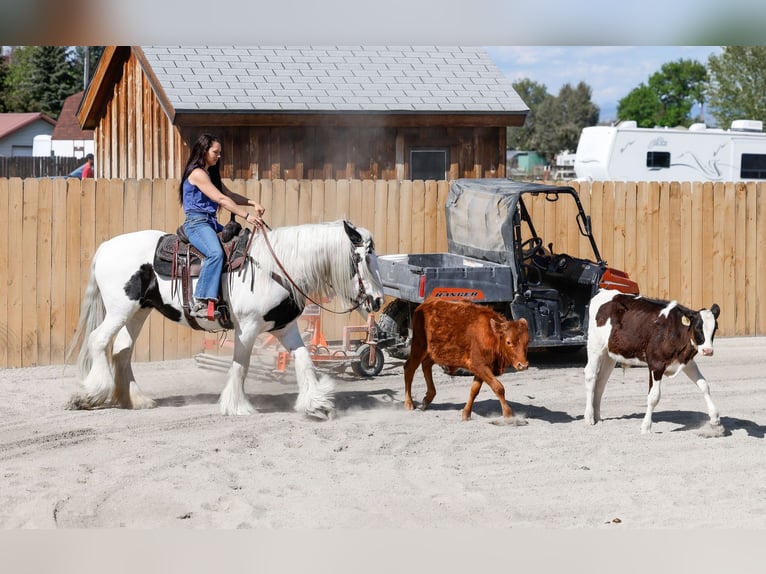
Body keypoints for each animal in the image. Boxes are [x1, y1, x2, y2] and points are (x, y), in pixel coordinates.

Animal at [67, 218, 384, 420]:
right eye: (364, 258)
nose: (379, 300)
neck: (276, 266)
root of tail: (105, 247)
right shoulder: (248, 326)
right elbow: (241, 366)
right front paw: (237, 406)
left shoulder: (285, 327)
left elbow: (305, 360)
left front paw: (316, 404)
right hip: (120, 309)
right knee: (98, 340)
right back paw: (90, 395)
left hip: (138, 311)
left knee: (122, 350)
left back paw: (136, 400)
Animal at [584, 290, 724, 434]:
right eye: (697, 327)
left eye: (715, 328)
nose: (708, 350)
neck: (674, 331)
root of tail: (605, 292)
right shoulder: (656, 365)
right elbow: (654, 397)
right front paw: (646, 426)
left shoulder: (687, 362)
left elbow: (704, 385)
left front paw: (715, 418)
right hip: (595, 346)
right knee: (591, 376)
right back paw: (589, 417)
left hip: (609, 353)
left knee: (601, 380)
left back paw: (597, 417)